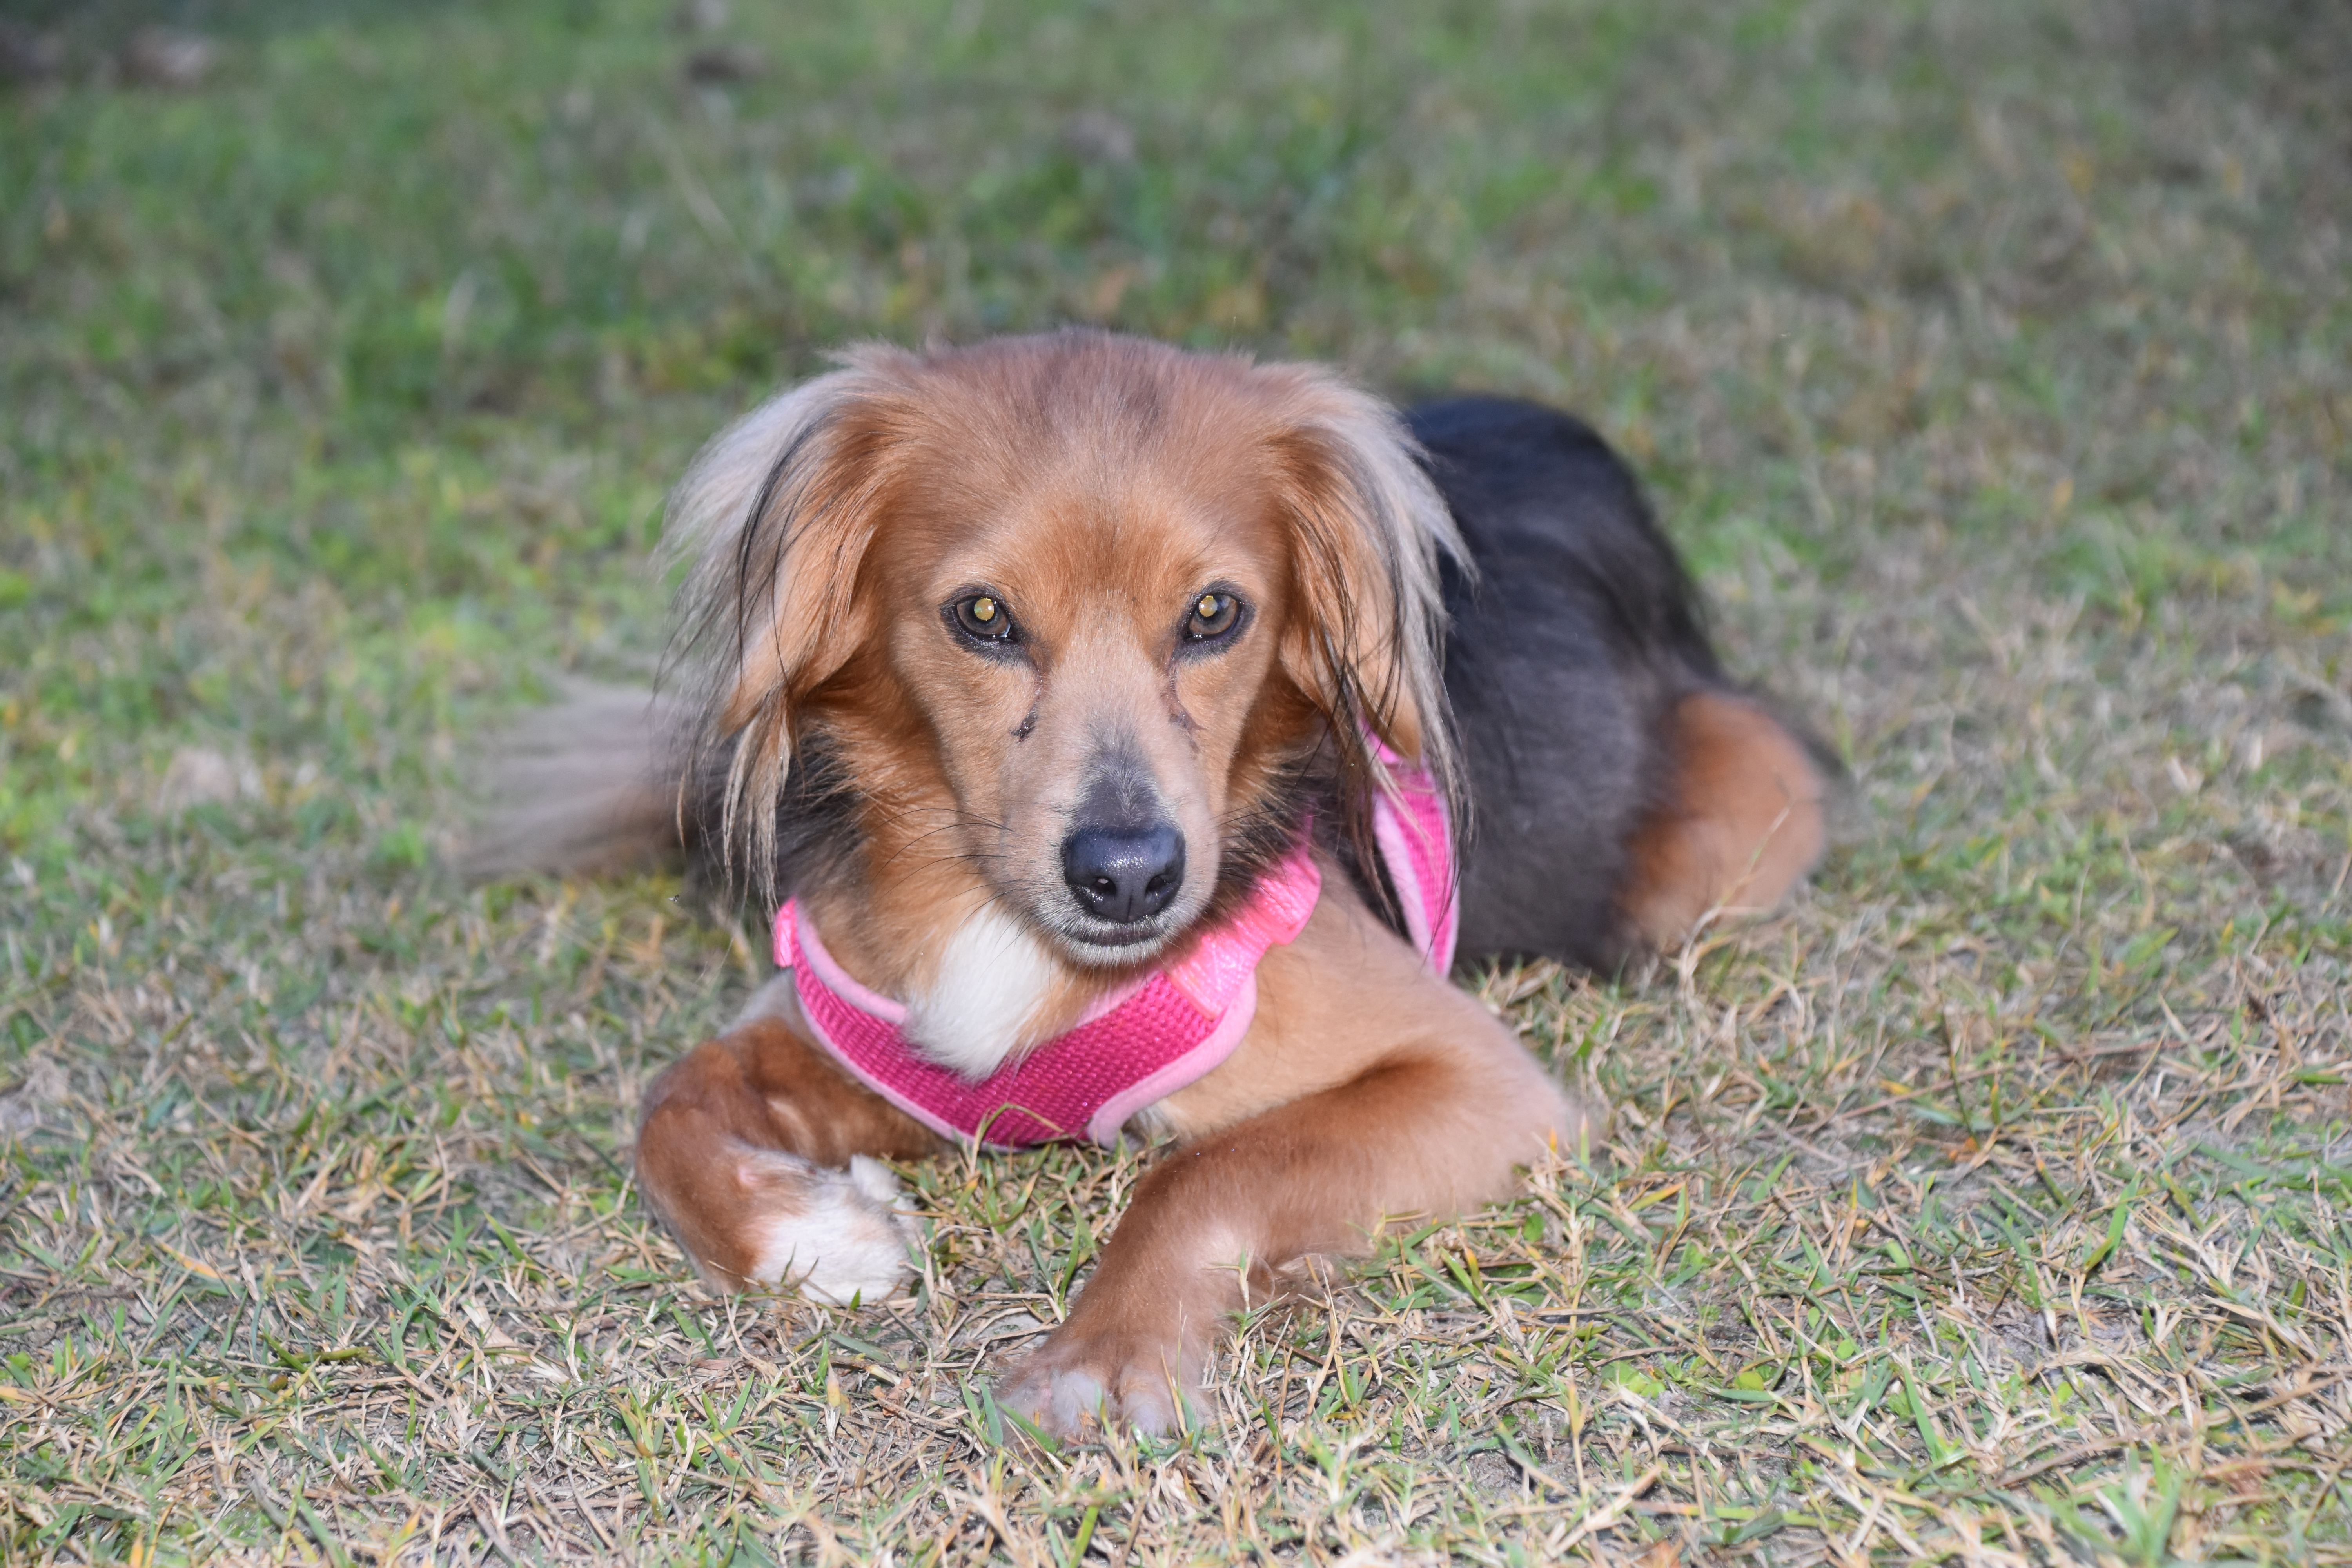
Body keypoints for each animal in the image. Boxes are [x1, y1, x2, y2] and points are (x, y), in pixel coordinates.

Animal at [487, 334, 1825, 1448]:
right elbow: (669, 1099)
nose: (1128, 874)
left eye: (1214, 613)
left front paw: (1105, 1354)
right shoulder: (856, 1029)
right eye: (982, 615)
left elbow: (1208, 1169)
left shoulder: (1478, 1083)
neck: (1012, 926)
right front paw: (811, 1234)